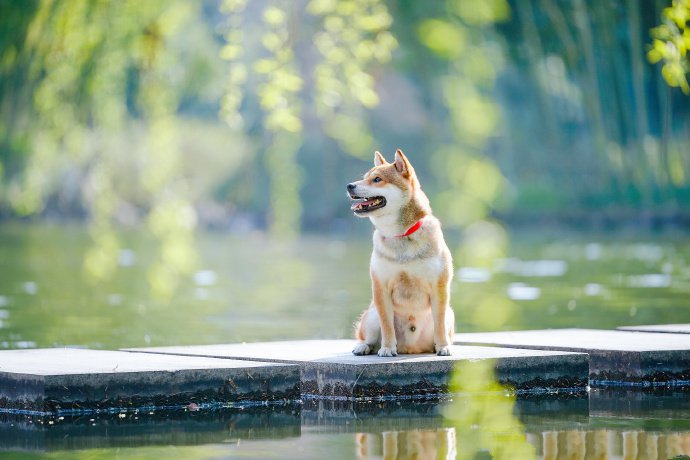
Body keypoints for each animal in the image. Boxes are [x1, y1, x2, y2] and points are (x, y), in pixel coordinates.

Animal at [346, 148, 454, 356]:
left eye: (377, 179)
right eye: (365, 178)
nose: (349, 186)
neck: (400, 235)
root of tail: (410, 349)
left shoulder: (439, 287)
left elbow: (440, 325)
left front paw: (444, 346)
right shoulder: (381, 288)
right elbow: (387, 326)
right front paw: (388, 348)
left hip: (450, 315)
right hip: (371, 316)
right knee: (368, 338)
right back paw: (364, 346)